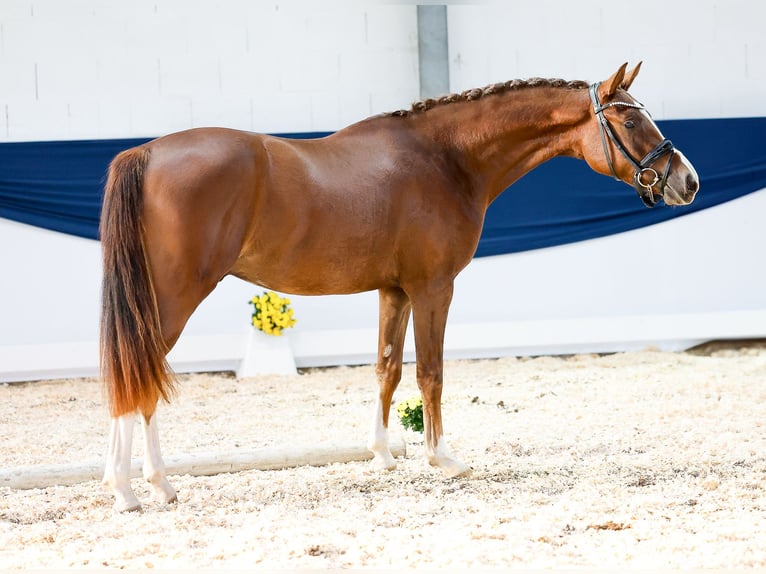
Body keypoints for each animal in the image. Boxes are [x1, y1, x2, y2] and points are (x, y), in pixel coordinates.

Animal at [102, 63, 704, 512]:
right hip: (173, 299)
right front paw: (444, 458)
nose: (688, 181)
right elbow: (430, 372)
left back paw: (135, 481)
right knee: (139, 377)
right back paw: (137, 489)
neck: (447, 159)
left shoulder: (394, 291)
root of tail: (144, 154)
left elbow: (386, 369)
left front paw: (383, 455)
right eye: (630, 121)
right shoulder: (434, 287)